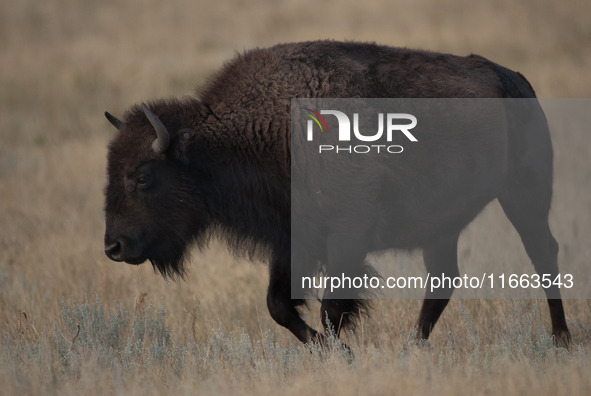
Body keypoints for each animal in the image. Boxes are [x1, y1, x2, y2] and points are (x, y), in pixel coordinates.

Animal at [104, 40, 572, 348]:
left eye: (143, 176)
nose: (114, 246)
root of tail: (516, 80)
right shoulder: (290, 240)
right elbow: (279, 305)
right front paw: (336, 352)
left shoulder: (346, 239)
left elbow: (330, 309)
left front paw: (341, 352)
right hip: (444, 225)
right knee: (444, 279)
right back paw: (413, 349)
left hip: (524, 194)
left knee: (543, 254)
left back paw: (561, 340)